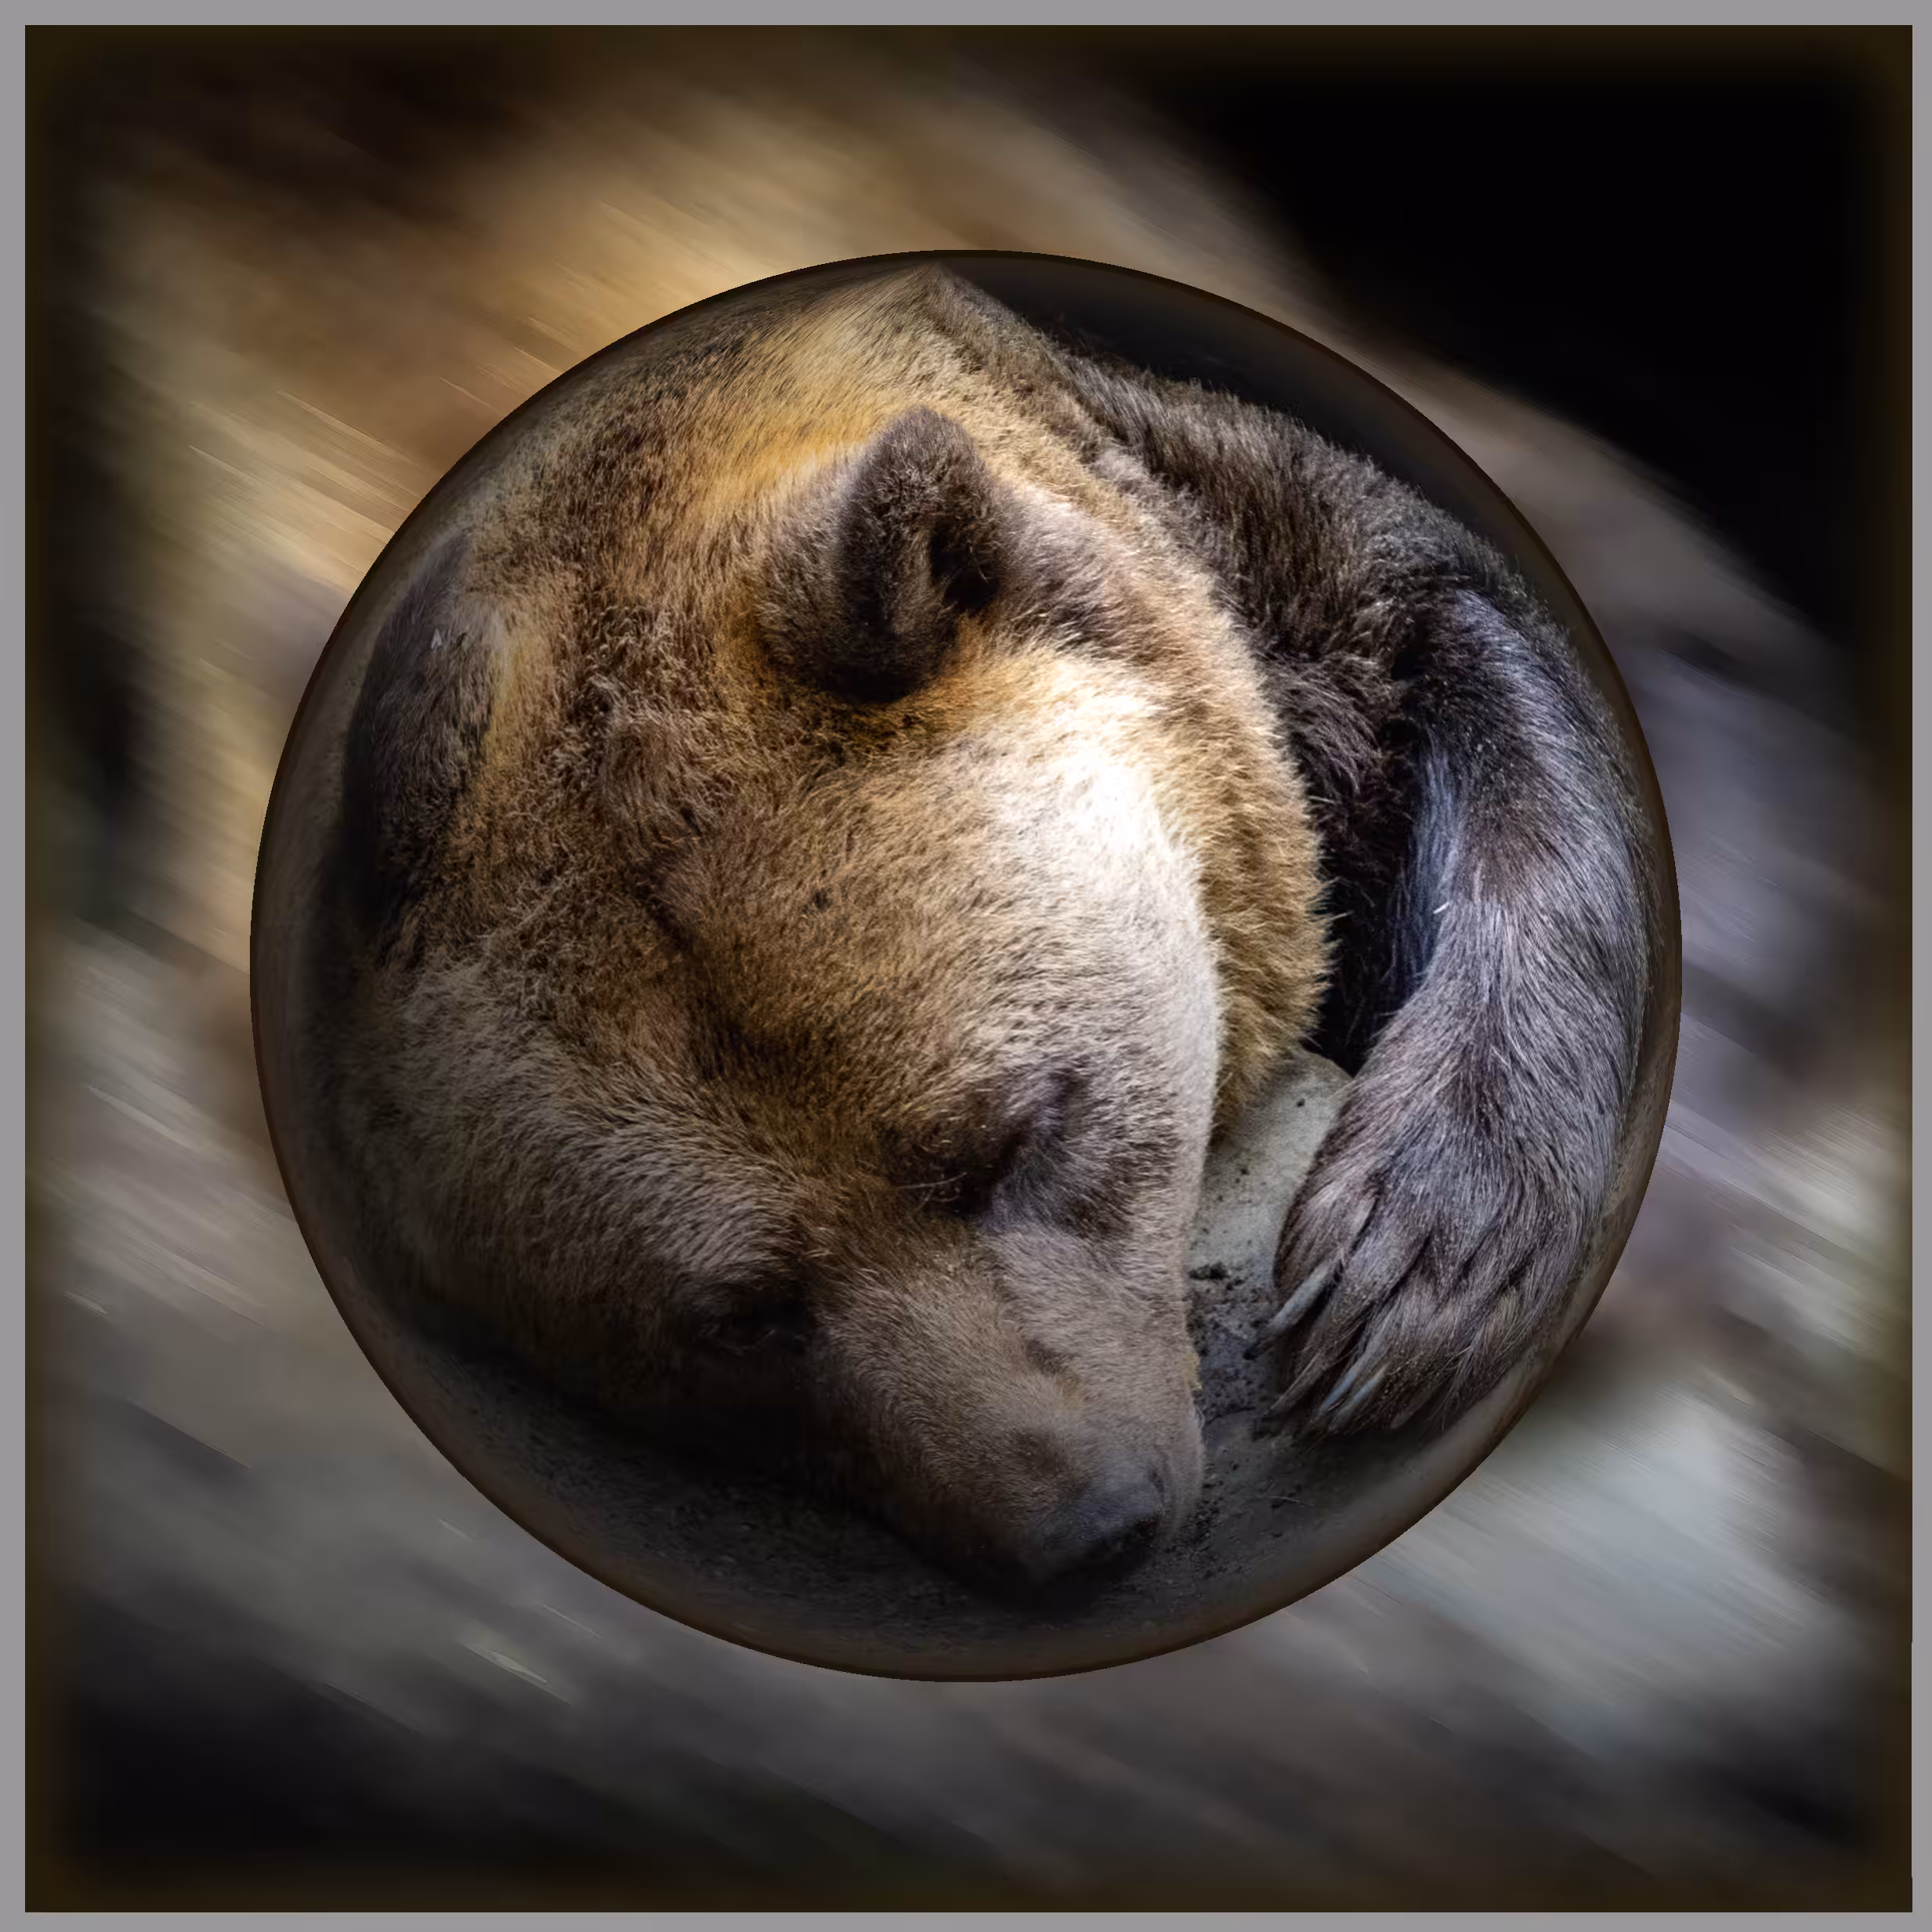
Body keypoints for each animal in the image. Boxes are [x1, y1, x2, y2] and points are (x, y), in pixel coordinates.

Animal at [303, 262, 1665, 1597]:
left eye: (1016, 1135)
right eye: (738, 1313)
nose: (1088, 1523)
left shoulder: (1268, 556)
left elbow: (1472, 676)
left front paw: (1403, 1272)